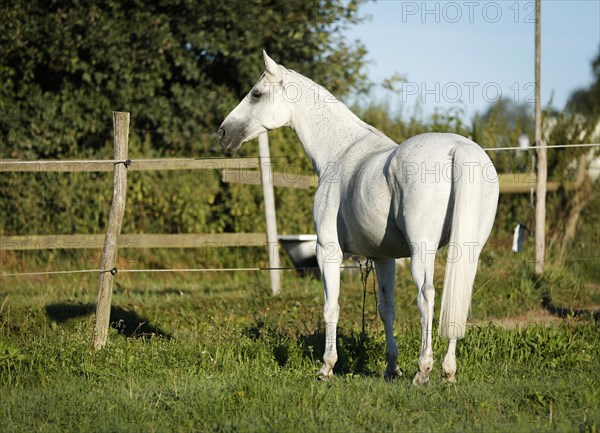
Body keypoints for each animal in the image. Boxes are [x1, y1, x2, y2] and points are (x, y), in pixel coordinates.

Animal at [218, 51, 500, 384]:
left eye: (256, 94)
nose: (223, 132)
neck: (340, 150)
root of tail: (459, 149)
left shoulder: (328, 250)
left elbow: (331, 306)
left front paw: (327, 367)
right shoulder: (384, 257)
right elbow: (385, 308)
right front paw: (392, 367)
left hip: (422, 251)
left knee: (427, 297)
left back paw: (424, 370)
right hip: (468, 250)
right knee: (458, 298)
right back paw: (448, 371)